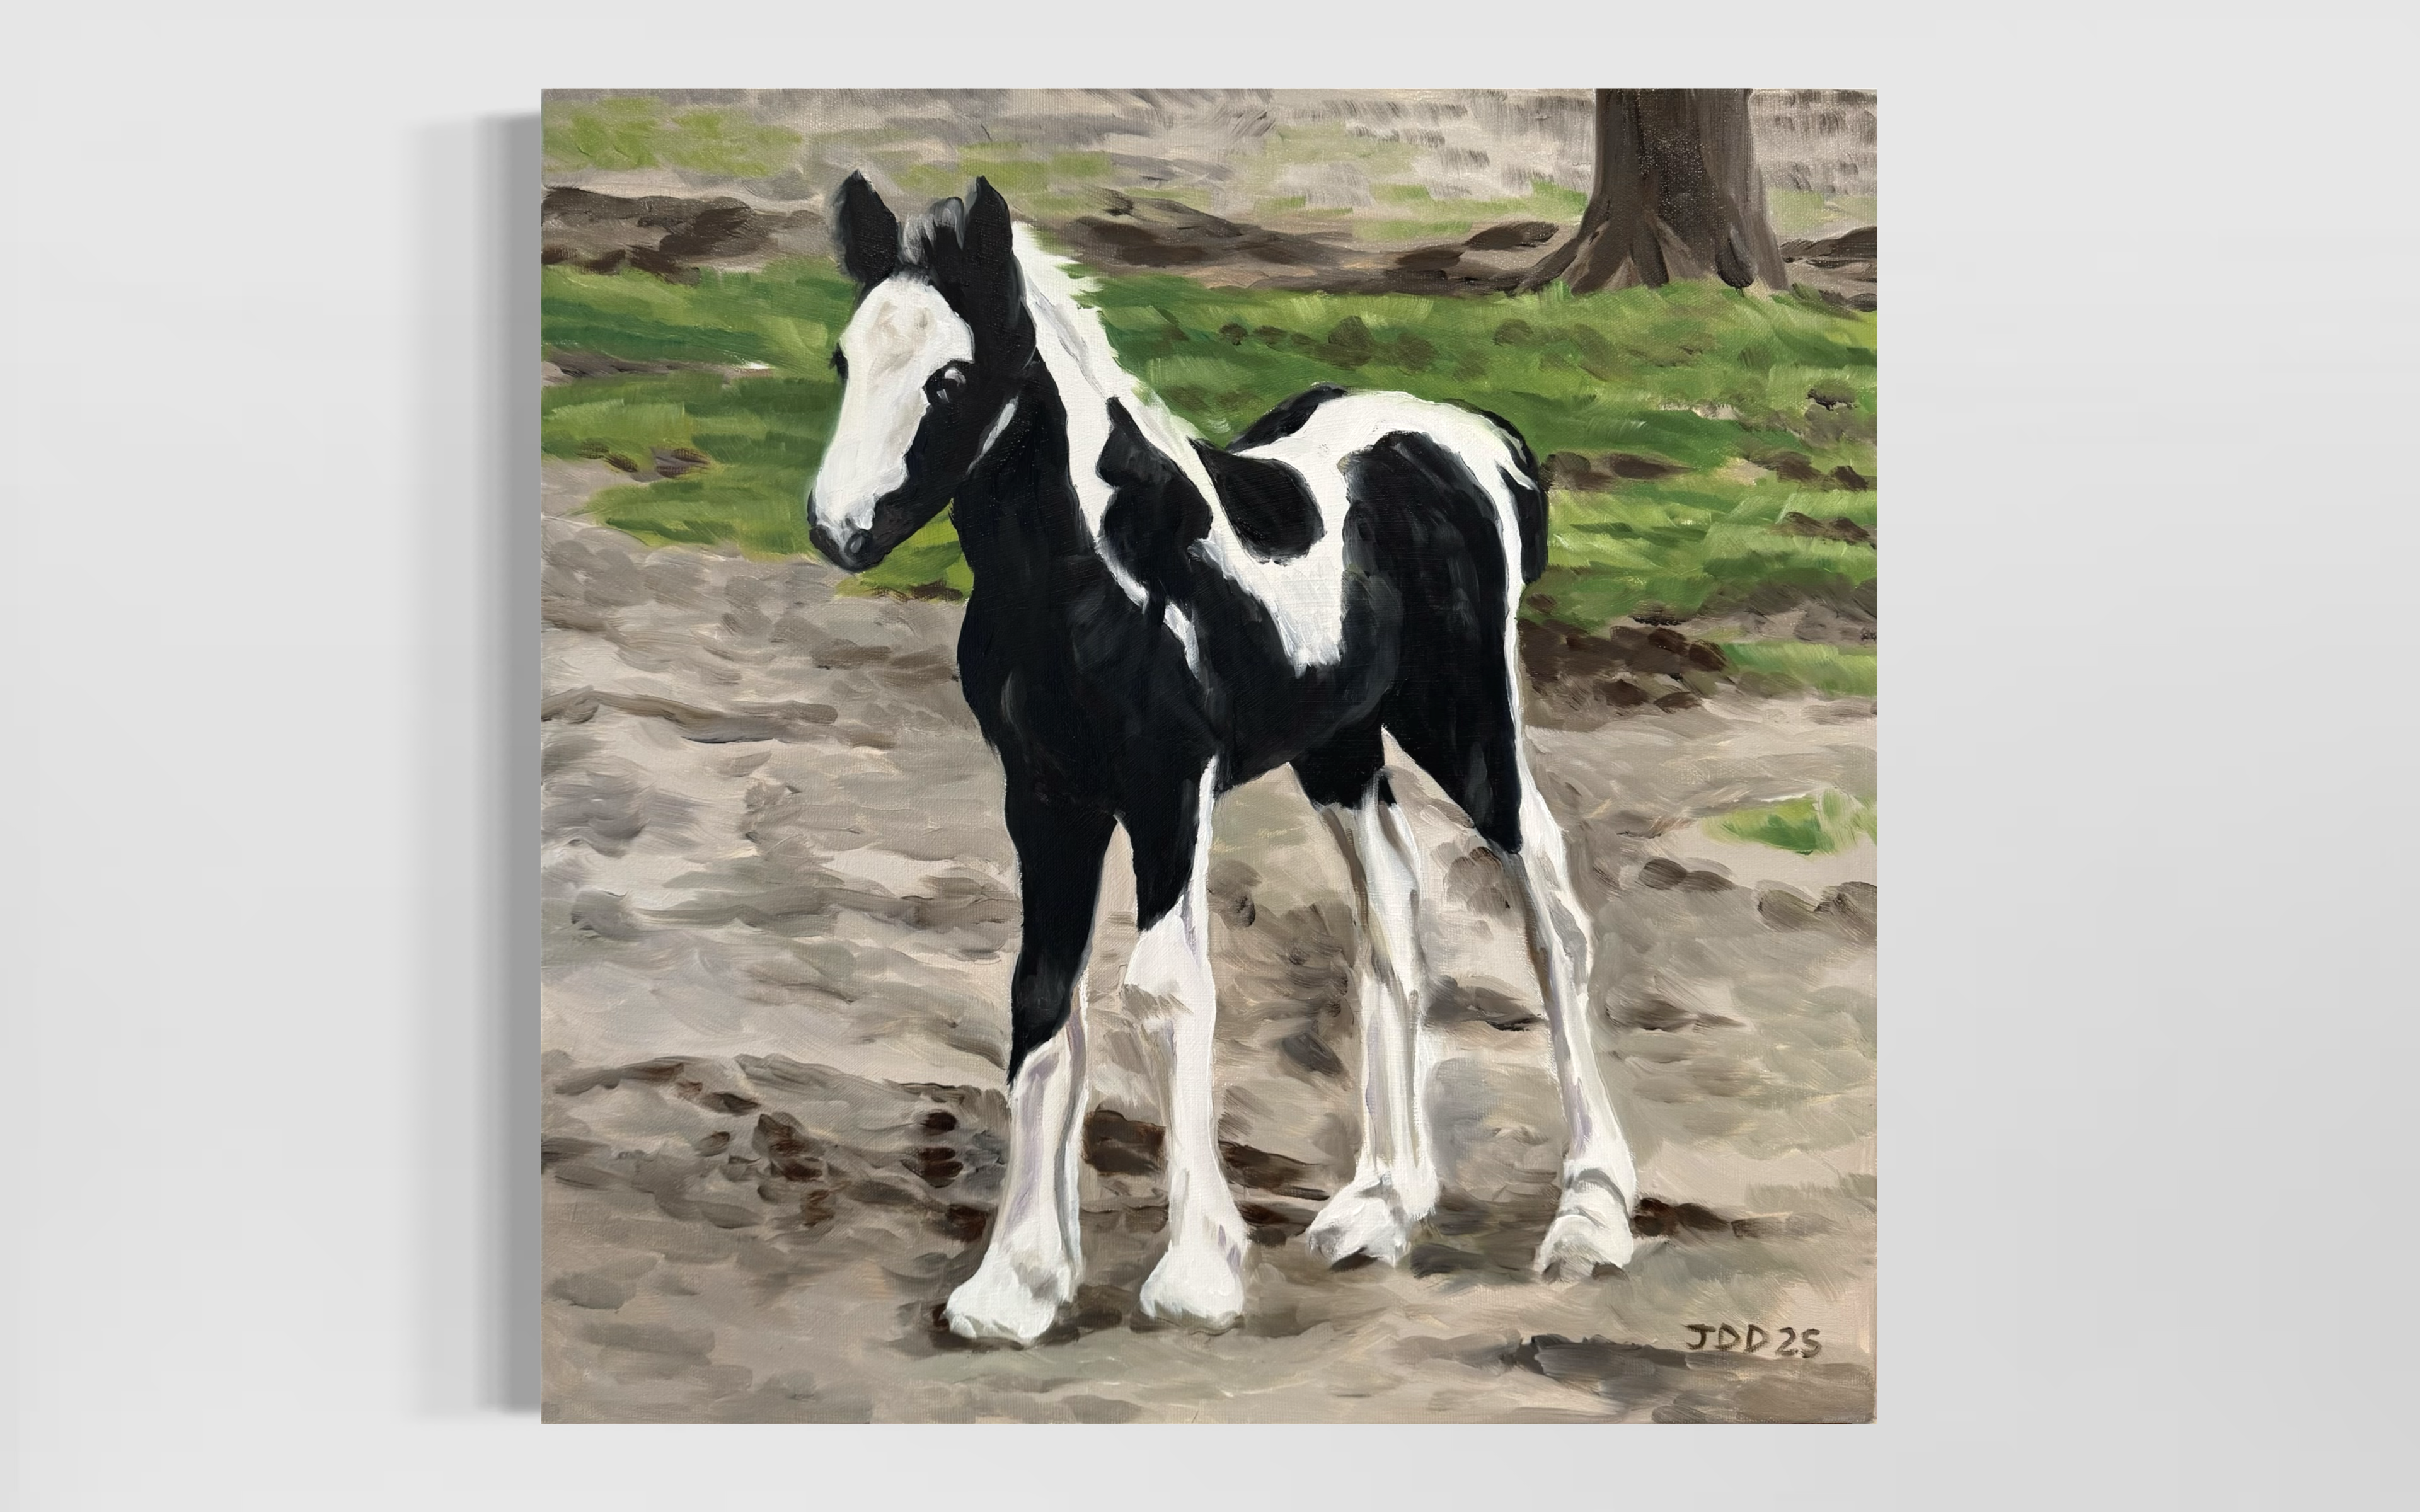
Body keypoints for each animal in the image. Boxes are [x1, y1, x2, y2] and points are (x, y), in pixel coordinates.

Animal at [805, 173, 1640, 1345]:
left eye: (952, 375)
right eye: (845, 360)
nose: (838, 531)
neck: (1100, 574)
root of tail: (1481, 441)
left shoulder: (1167, 791)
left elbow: (1166, 991)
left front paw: (1197, 1275)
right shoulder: (1046, 799)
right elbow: (1040, 1000)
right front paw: (1015, 1285)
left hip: (1467, 718)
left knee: (1551, 906)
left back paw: (1593, 1215)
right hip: (1340, 744)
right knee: (1393, 902)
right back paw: (1383, 1203)